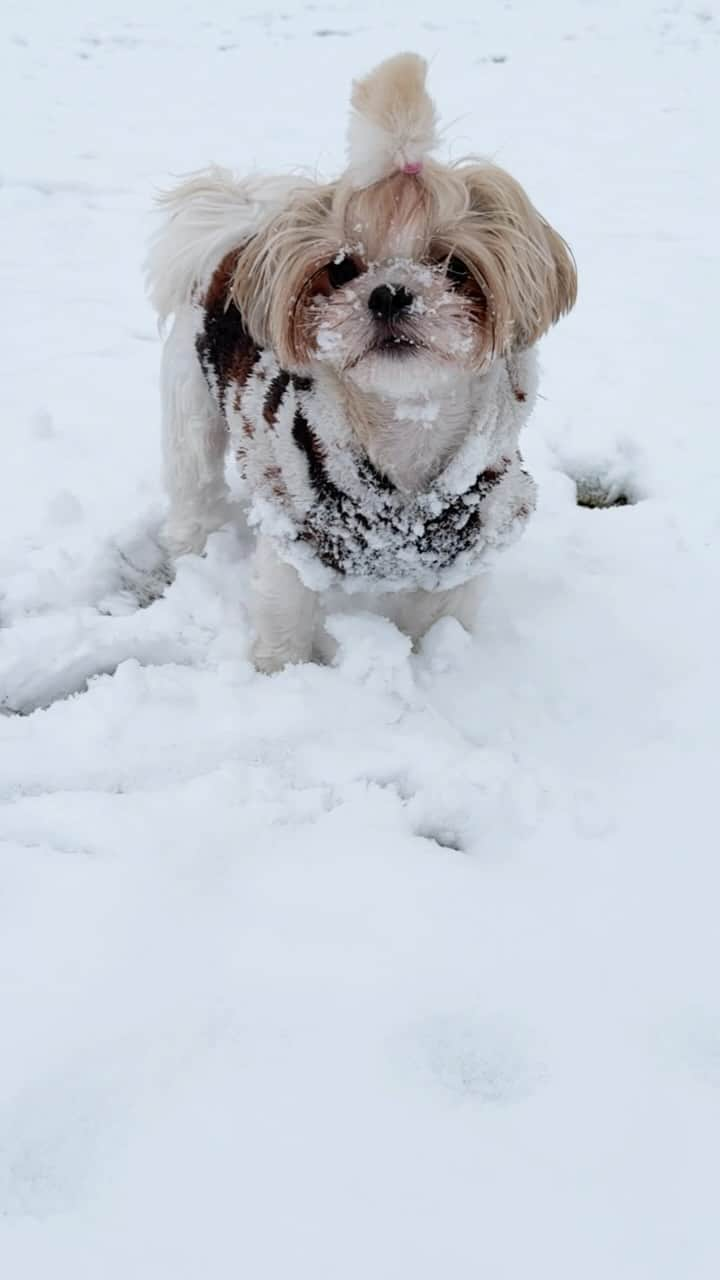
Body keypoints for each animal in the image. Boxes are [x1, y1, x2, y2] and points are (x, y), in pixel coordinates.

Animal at [146, 52, 571, 670]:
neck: (404, 439)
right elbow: (285, 616)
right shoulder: (297, 533)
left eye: (454, 265)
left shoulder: (466, 552)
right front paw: (282, 674)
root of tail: (235, 239)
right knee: (193, 484)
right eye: (341, 267)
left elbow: (436, 625)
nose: (389, 293)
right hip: (191, 406)